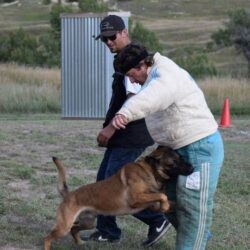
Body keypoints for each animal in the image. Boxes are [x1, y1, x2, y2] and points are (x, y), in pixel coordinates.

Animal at [44, 146, 192, 249]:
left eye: (181, 157)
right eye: (173, 162)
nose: (192, 167)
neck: (150, 172)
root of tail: (69, 194)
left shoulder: (152, 203)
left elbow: (168, 199)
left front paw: (182, 207)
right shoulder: (135, 199)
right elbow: (162, 195)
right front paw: (166, 206)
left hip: (88, 222)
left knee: (74, 229)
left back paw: (81, 243)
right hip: (64, 227)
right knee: (48, 238)